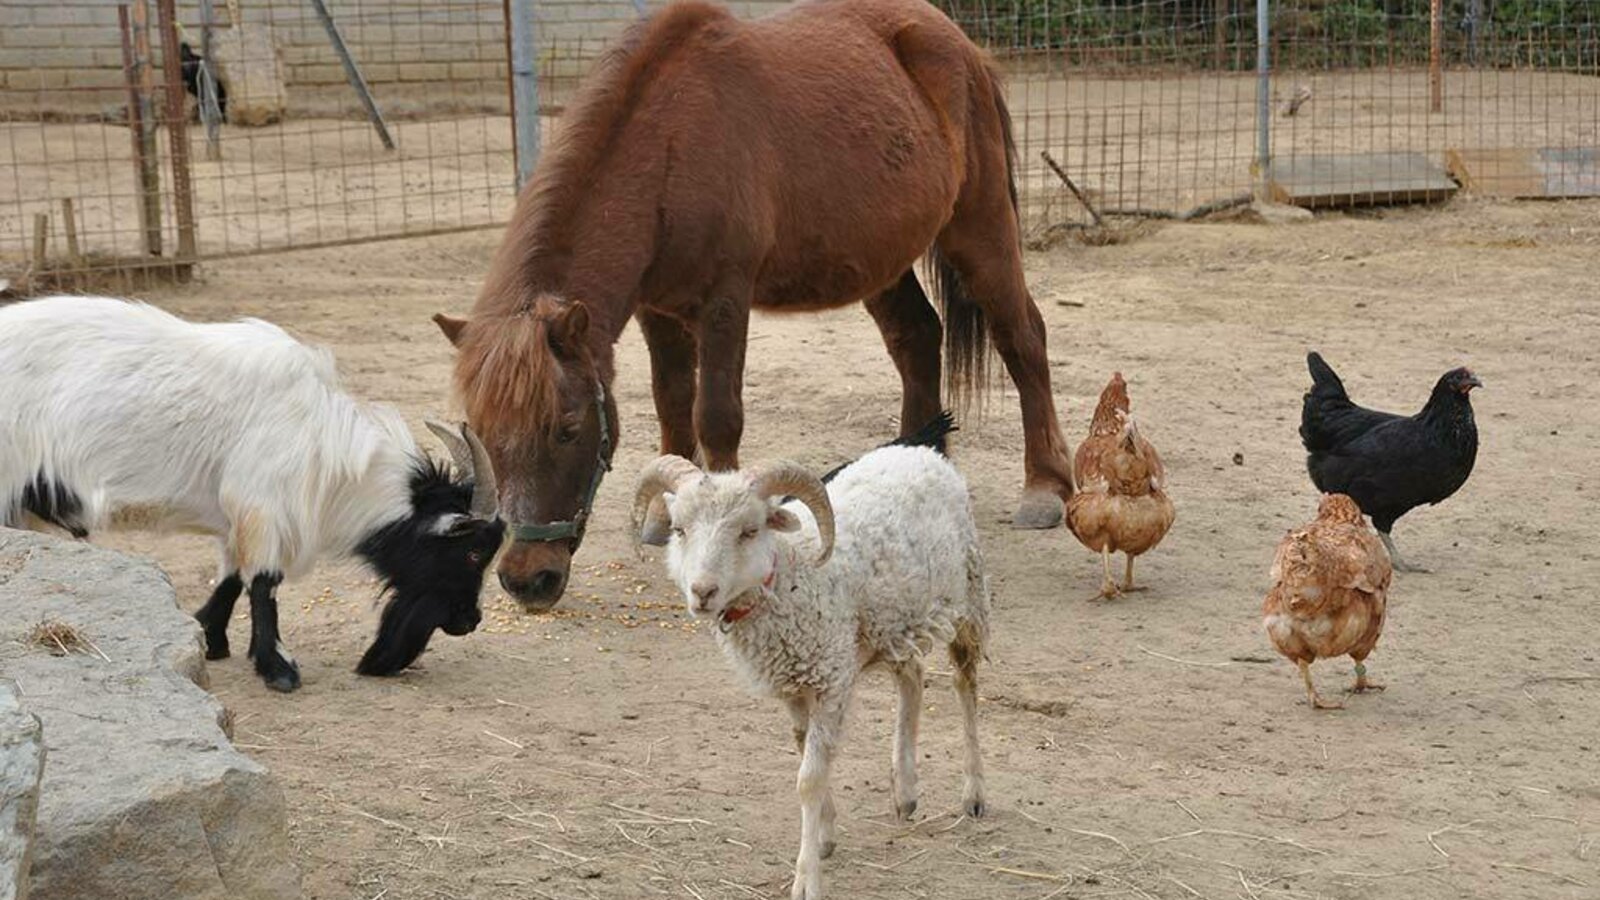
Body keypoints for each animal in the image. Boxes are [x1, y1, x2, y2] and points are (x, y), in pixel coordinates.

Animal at [0, 297, 502, 688]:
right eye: (474, 552)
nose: (471, 621)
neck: (323, 444)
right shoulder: (262, 506)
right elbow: (263, 583)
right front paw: (279, 669)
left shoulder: (235, 517)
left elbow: (230, 578)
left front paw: (211, 639)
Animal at [441, 0, 1075, 608]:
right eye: (486, 432)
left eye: (569, 429)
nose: (527, 579)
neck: (669, 144)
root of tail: (958, 42)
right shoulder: (657, 310)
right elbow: (672, 404)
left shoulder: (726, 300)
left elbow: (716, 415)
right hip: (881, 259)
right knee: (917, 337)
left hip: (979, 226)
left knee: (1023, 337)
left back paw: (1045, 486)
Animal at [633, 441, 985, 896]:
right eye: (679, 530)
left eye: (750, 531)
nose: (703, 592)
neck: (788, 576)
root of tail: (921, 451)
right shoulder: (794, 687)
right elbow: (805, 755)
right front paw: (824, 836)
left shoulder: (831, 681)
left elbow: (809, 779)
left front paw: (807, 878)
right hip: (894, 621)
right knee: (912, 678)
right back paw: (905, 790)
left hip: (969, 596)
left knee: (965, 683)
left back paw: (974, 792)